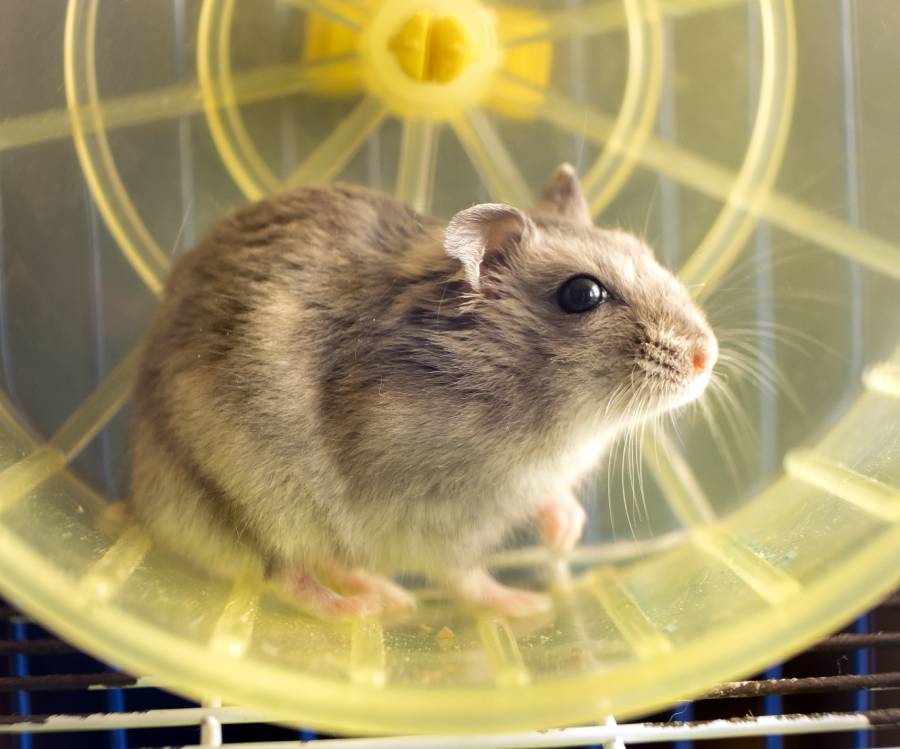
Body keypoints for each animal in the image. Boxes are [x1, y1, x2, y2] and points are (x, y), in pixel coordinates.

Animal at [129, 164, 717, 619]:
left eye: (645, 251)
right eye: (582, 294)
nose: (707, 356)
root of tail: (143, 508)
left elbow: (550, 500)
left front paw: (566, 532)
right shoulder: (433, 517)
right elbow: (464, 576)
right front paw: (528, 607)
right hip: (254, 503)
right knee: (285, 574)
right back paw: (370, 607)